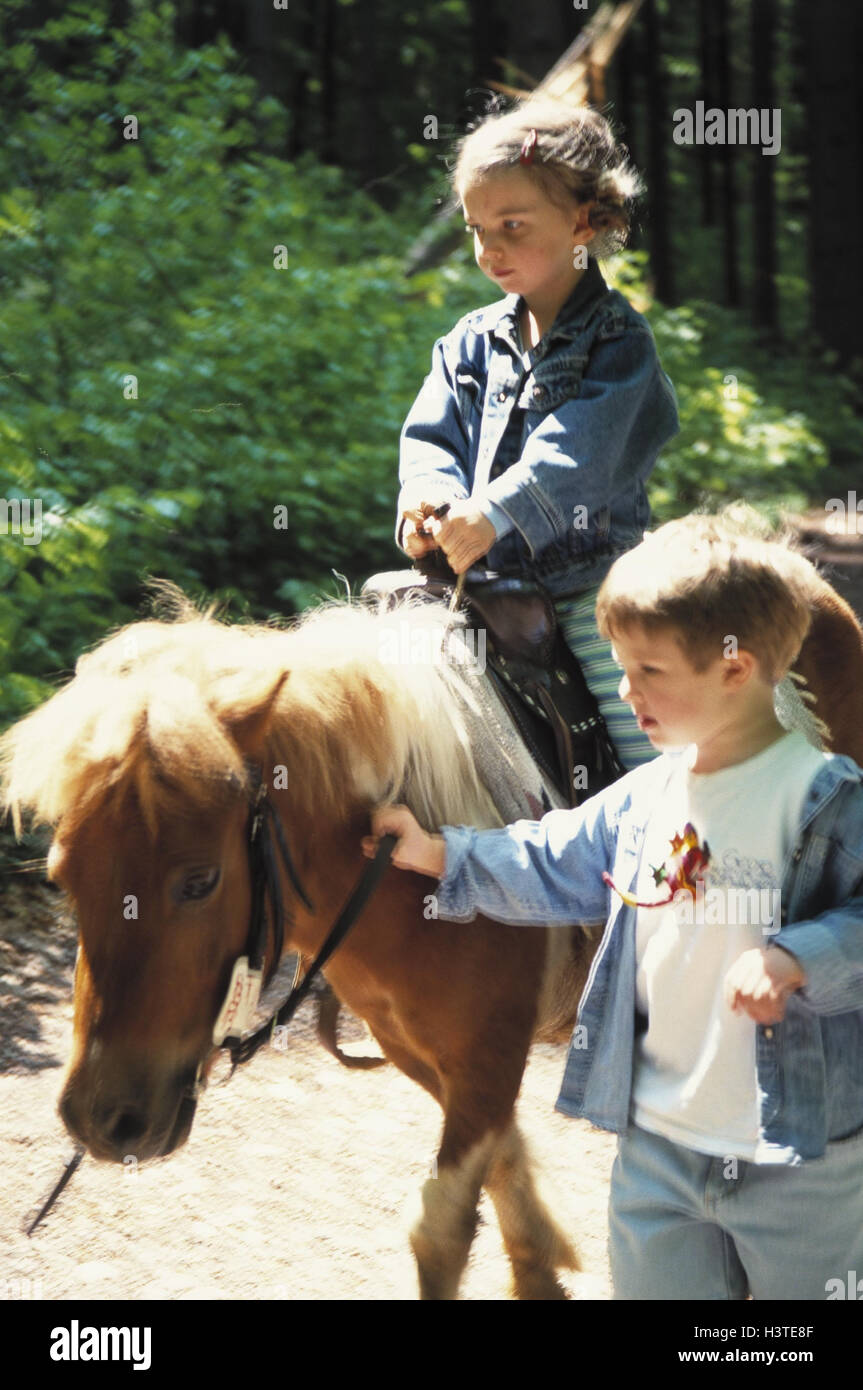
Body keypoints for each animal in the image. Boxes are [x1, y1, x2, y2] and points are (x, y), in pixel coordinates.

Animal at [1, 567, 861, 1301]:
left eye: (199, 881)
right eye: (63, 877)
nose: (102, 1120)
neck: (398, 877)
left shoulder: (486, 1053)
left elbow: (443, 1226)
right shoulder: (428, 1051)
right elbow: (505, 1179)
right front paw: (543, 1263)